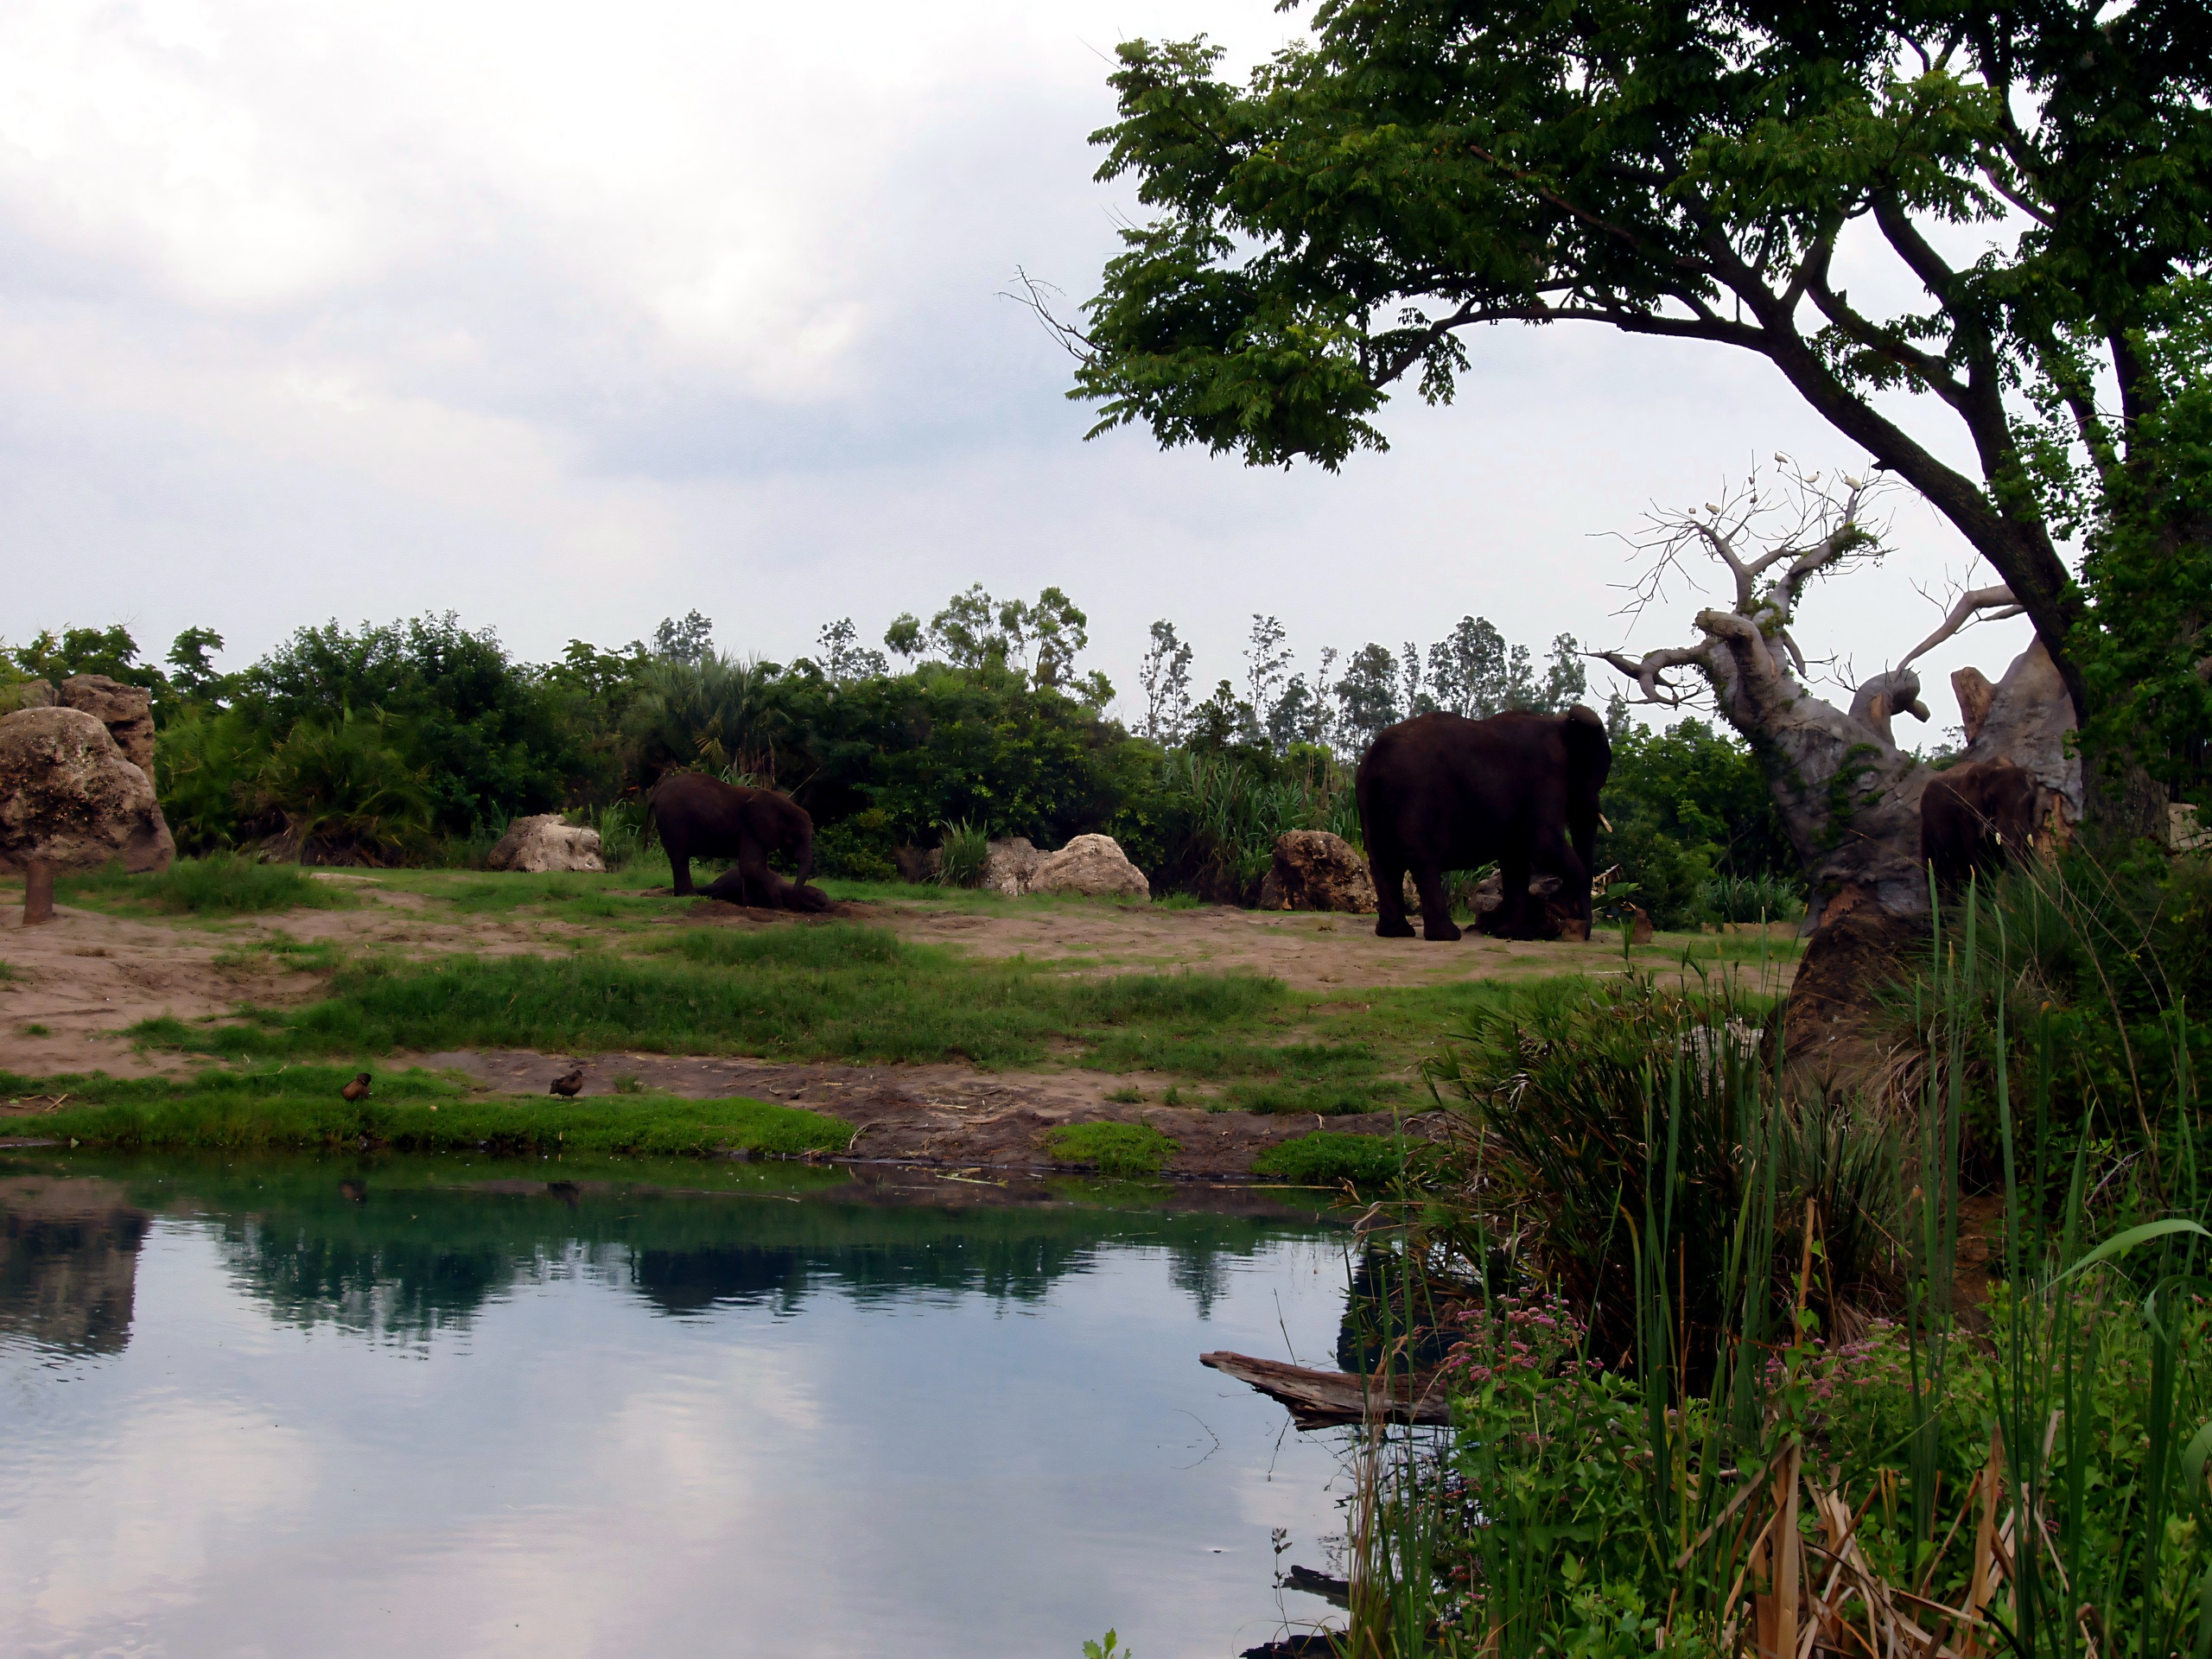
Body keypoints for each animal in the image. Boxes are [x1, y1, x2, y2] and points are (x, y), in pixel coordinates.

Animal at [645, 771, 817, 901]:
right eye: (796, 836)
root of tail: (657, 792)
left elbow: (752, 868)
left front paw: (753, 904)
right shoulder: (748, 828)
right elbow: (752, 866)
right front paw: (776, 904)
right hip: (674, 820)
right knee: (680, 857)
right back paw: (689, 896)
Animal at [1356, 706, 1612, 942]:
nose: (1583, 934)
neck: (1562, 724)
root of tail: (1376, 761)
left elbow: (1516, 858)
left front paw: (1514, 934)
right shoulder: (1547, 776)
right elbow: (1543, 844)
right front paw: (1556, 908)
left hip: (1368, 799)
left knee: (1384, 864)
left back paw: (1395, 933)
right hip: (1418, 798)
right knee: (1424, 864)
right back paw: (1447, 936)